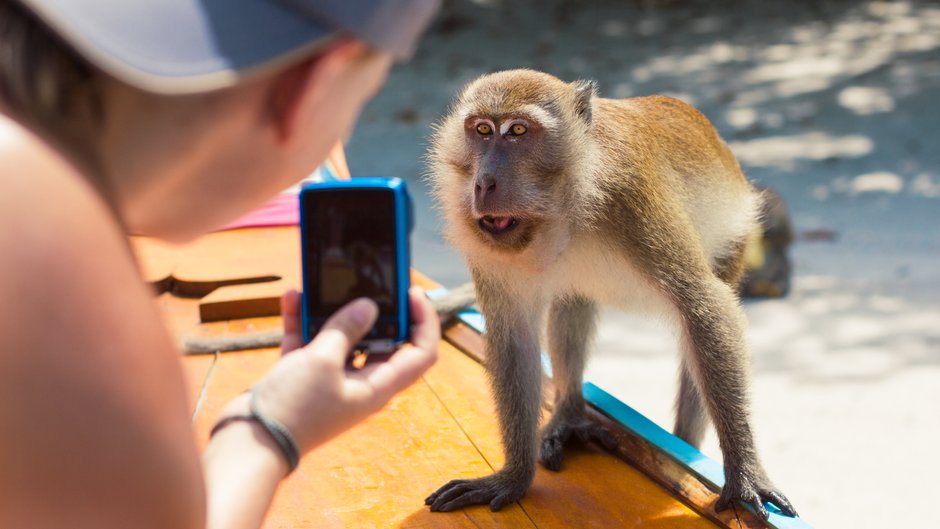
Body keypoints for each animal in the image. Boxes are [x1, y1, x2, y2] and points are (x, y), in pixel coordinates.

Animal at [422, 68, 796, 516]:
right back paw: (569, 413)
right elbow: (515, 339)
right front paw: (514, 476)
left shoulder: (630, 197)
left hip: (738, 237)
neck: (564, 206)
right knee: (571, 303)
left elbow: (703, 307)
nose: (484, 183)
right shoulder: (487, 247)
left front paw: (743, 472)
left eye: (517, 131)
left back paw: (684, 442)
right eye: (481, 130)